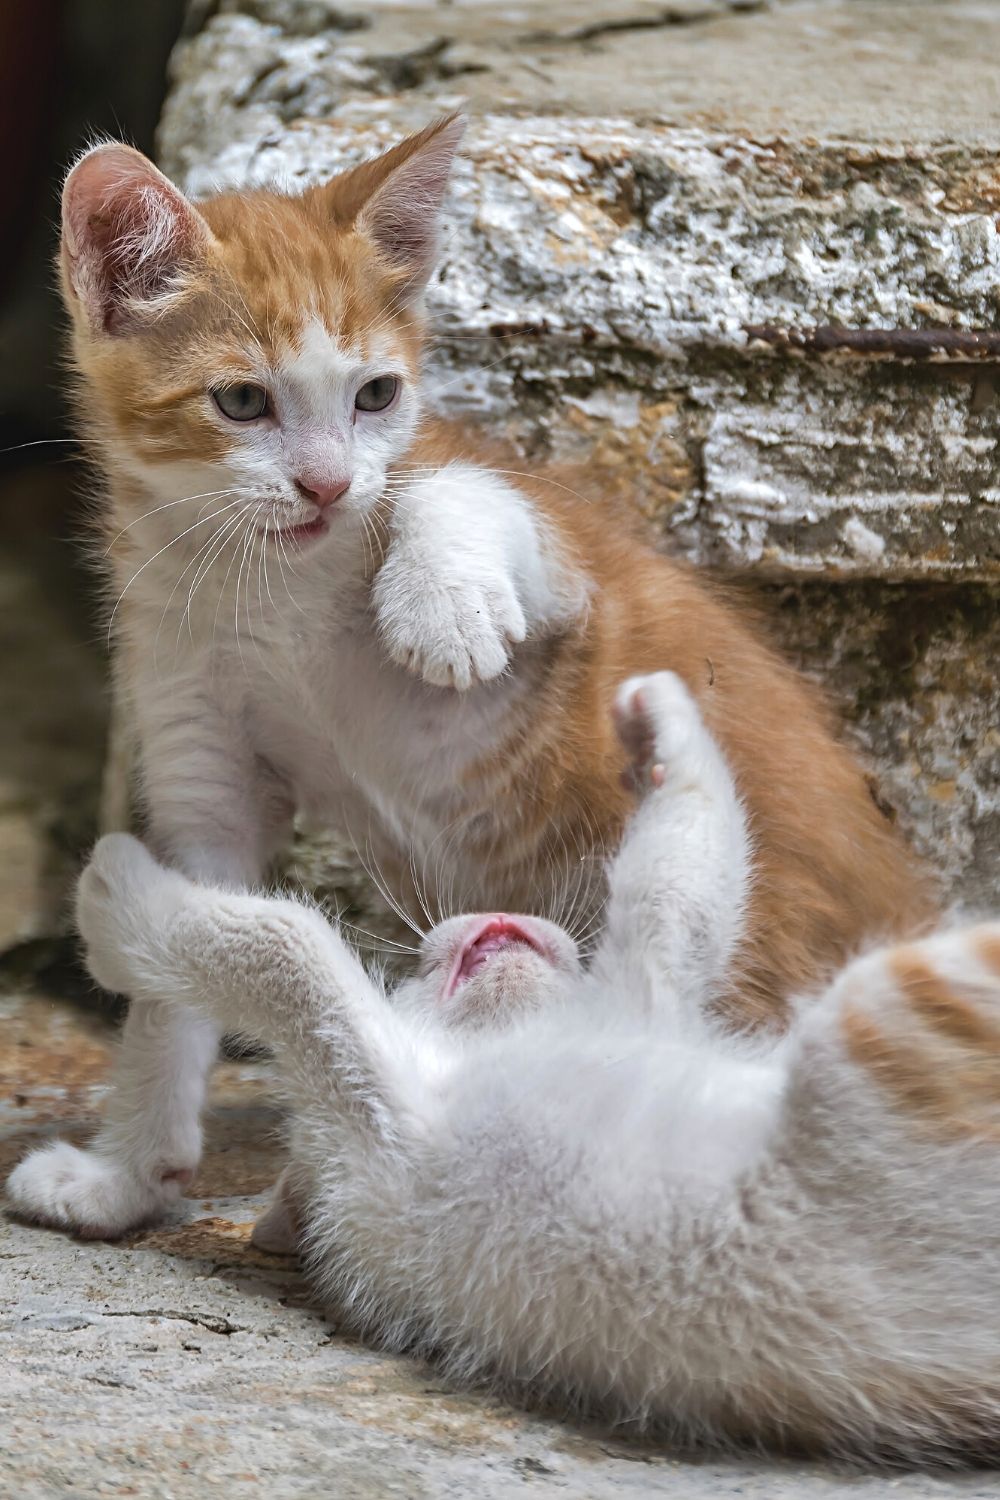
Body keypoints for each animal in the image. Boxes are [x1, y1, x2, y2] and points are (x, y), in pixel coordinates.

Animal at [5, 120, 929, 1242]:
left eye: (377, 395)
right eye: (241, 401)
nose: (328, 484)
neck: (273, 590)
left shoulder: (575, 590)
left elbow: (447, 487)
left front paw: (438, 604)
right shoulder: (199, 748)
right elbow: (180, 954)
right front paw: (125, 1172)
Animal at [74, 678, 1000, 1452]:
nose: (489, 916)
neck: (509, 1033)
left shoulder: (643, 994)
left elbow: (675, 886)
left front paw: (663, 729)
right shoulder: (377, 1128)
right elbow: (287, 948)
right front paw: (125, 902)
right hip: (880, 1026)